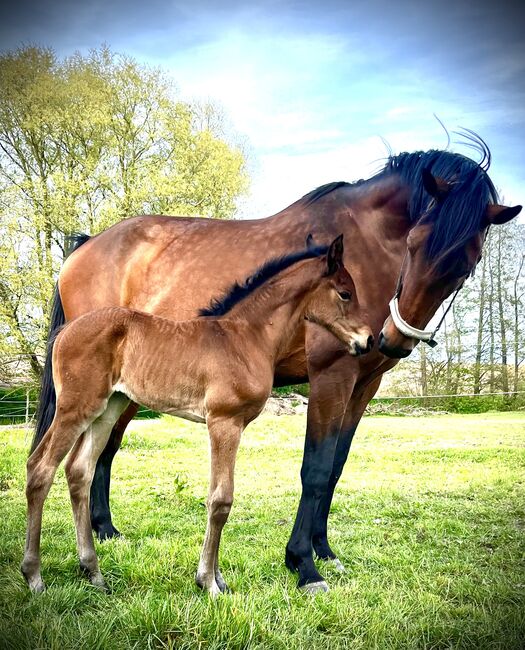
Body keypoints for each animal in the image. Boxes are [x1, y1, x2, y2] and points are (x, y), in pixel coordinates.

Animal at [22, 235, 370, 596]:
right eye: (345, 293)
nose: (368, 339)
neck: (245, 337)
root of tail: (65, 332)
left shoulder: (227, 425)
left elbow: (218, 497)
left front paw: (218, 579)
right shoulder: (224, 422)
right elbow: (221, 500)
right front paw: (208, 582)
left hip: (107, 409)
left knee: (79, 471)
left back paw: (93, 572)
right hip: (76, 408)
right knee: (40, 468)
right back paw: (34, 576)